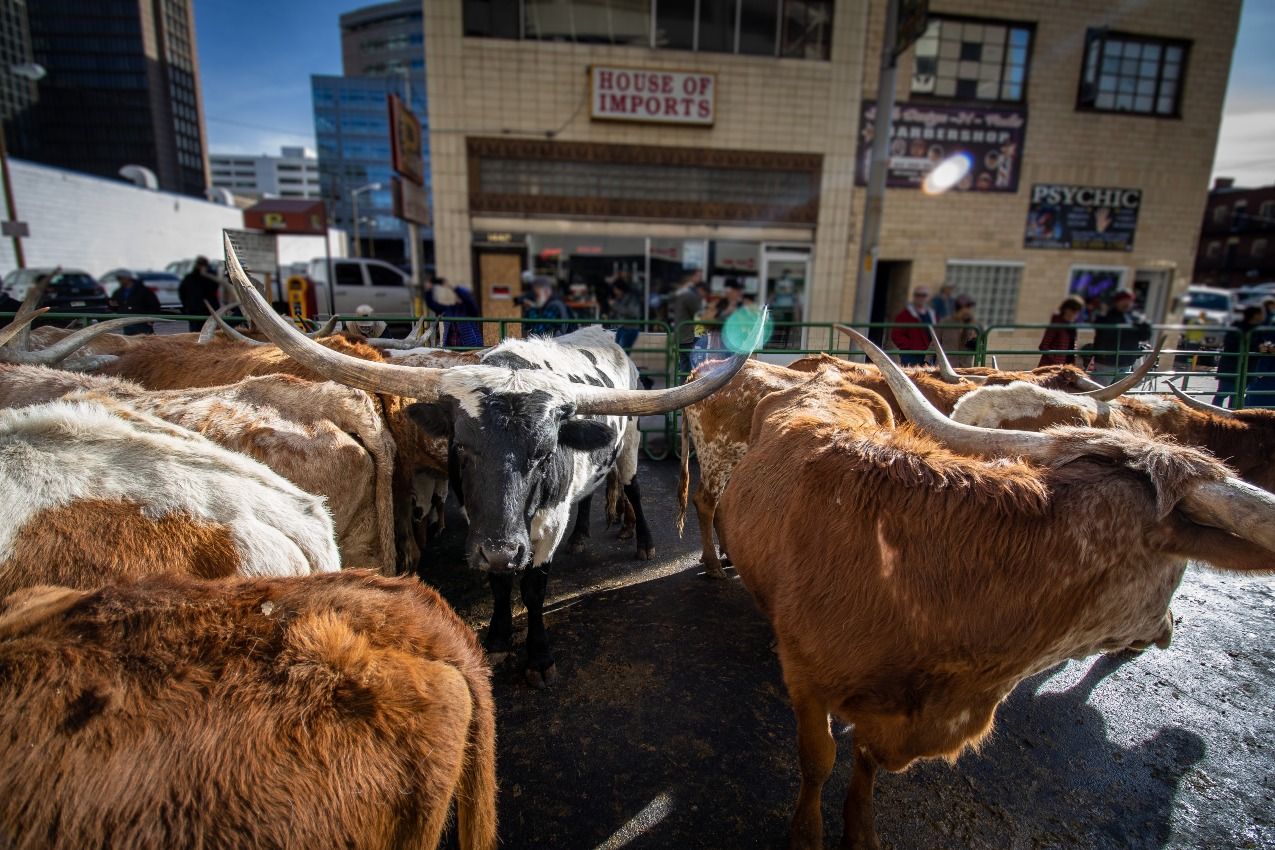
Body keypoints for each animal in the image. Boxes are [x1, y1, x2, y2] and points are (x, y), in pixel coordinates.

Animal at [223, 235, 760, 685]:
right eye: (461, 446)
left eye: (544, 453)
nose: (502, 549)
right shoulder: (485, 525)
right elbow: (502, 584)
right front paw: (501, 637)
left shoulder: (541, 526)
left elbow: (534, 588)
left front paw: (538, 658)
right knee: (586, 494)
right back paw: (582, 534)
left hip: (627, 448)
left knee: (630, 486)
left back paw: (643, 542)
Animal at [715, 326, 1275, 850]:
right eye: (1178, 570)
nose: (1168, 627)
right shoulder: (808, 682)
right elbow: (817, 761)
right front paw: (807, 834)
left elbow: (865, 764)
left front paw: (861, 831)